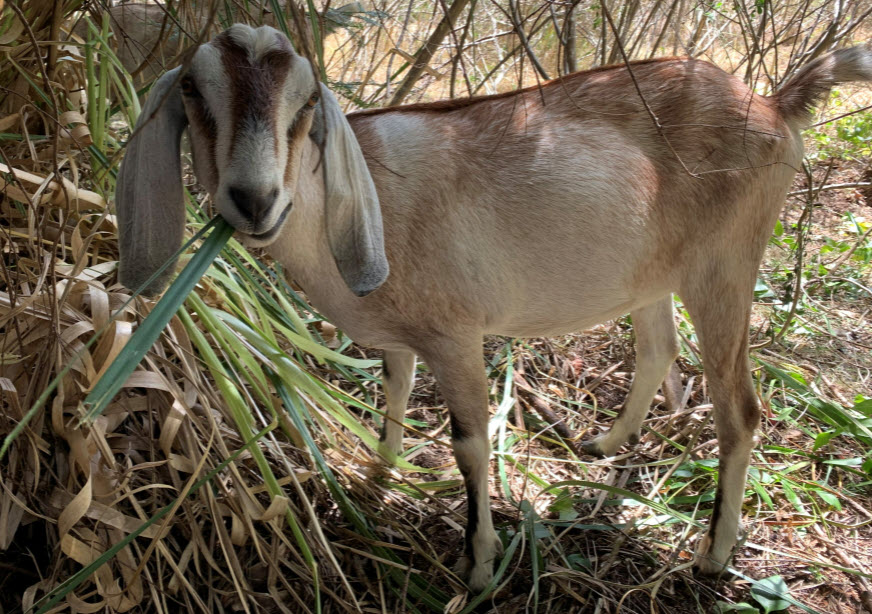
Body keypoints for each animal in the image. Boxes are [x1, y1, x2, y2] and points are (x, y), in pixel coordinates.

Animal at [116, 25, 872, 596]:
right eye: (193, 91)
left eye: (304, 106)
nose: (255, 200)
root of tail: (772, 106)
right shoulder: (400, 338)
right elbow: (393, 397)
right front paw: (377, 478)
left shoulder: (456, 335)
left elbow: (469, 444)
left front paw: (477, 564)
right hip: (652, 275)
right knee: (659, 350)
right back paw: (602, 446)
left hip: (724, 268)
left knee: (740, 408)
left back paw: (712, 557)